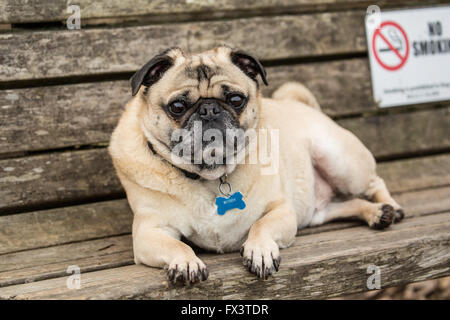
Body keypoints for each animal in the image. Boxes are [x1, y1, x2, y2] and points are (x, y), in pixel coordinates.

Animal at [109, 45, 404, 282]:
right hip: (317, 209)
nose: (209, 109)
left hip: (342, 163)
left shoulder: (282, 210)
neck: (210, 176)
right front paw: (186, 261)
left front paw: (259, 250)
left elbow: (261, 225)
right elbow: (177, 245)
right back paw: (377, 213)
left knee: (374, 182)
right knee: (344, 205)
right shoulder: (150, 231)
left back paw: (391, 208)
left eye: (236, 99)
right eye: (178, 107)